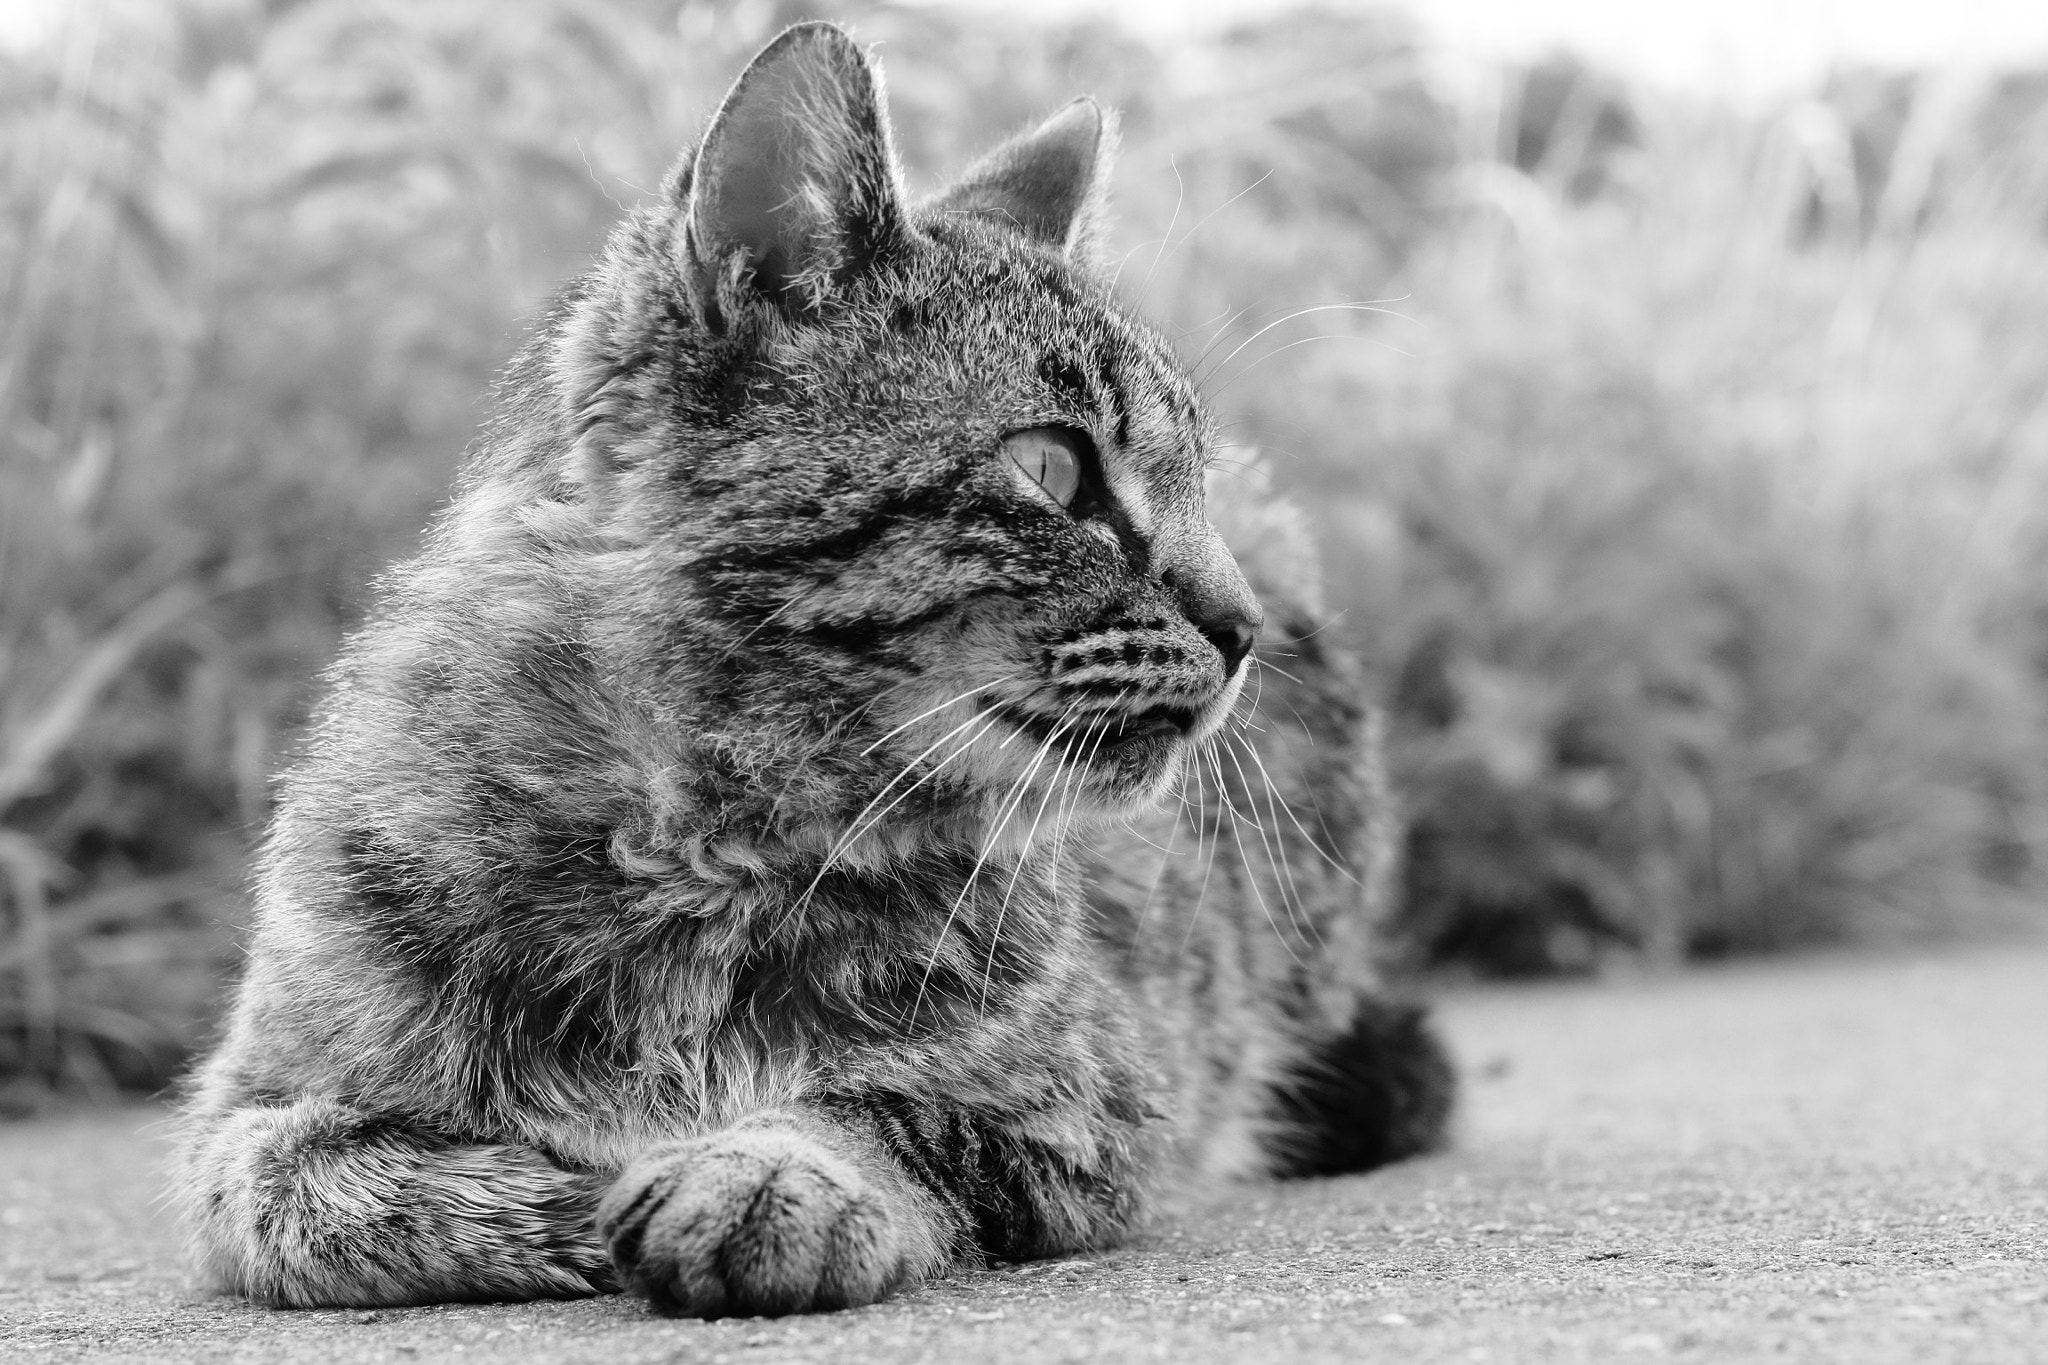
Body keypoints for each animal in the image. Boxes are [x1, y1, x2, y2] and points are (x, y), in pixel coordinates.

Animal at [176, 21, 1458, 1317]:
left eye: (1191, 478)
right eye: (1051, 468)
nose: (1240, 626)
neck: (699, 850)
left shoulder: (1090, 1109)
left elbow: (885, 1110)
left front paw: (767, 1173)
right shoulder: (249, 1106)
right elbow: (300, 1193)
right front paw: (561, 1193)